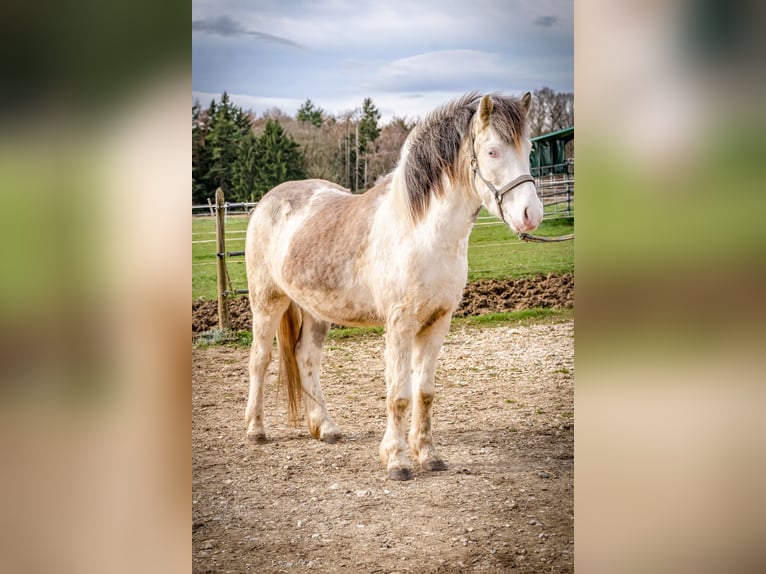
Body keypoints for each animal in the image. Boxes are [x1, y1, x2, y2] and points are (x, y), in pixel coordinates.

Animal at [243, 92, 543, 480]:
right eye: (492, 151)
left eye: (529, 149)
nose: (531, 215)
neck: (421, 232)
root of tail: (267, 201)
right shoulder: (400, 323)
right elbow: (399, 393)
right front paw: (398, 461)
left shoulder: (438, 321)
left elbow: (424, 393)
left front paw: (428, 455)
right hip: (267, 302)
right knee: (259, 360)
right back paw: (256, 429)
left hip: (315, 311)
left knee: (306, 357)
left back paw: (326, 428)